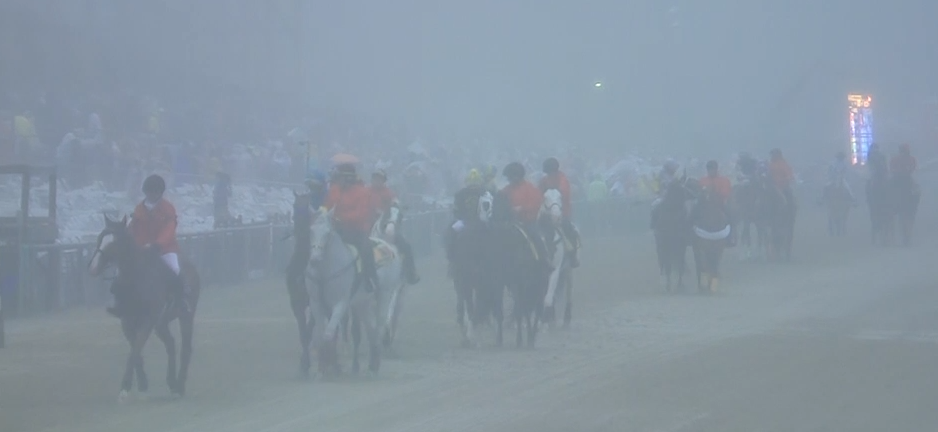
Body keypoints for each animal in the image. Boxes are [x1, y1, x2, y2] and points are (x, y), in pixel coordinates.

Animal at [88, 216, 201, 402]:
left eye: (114, 242)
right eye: (100, 238)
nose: (93, 268)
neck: (136, 278)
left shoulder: (147, 321)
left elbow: (135, 349)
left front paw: (125, 387)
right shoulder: (127, 321)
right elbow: (135, 350)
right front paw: (141, 384)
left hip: (185, 316)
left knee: (186, 348)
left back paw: (179, 386)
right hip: (161, 323)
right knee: (170, 343)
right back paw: (171, 382)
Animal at [536, 188, 576, 328]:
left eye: (560, 197)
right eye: (545, 197)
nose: (556, 216)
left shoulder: (555, 270)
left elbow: (548, 297)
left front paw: (544, 321)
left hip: (568, 271)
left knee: (568, 291)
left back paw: (566, 317)